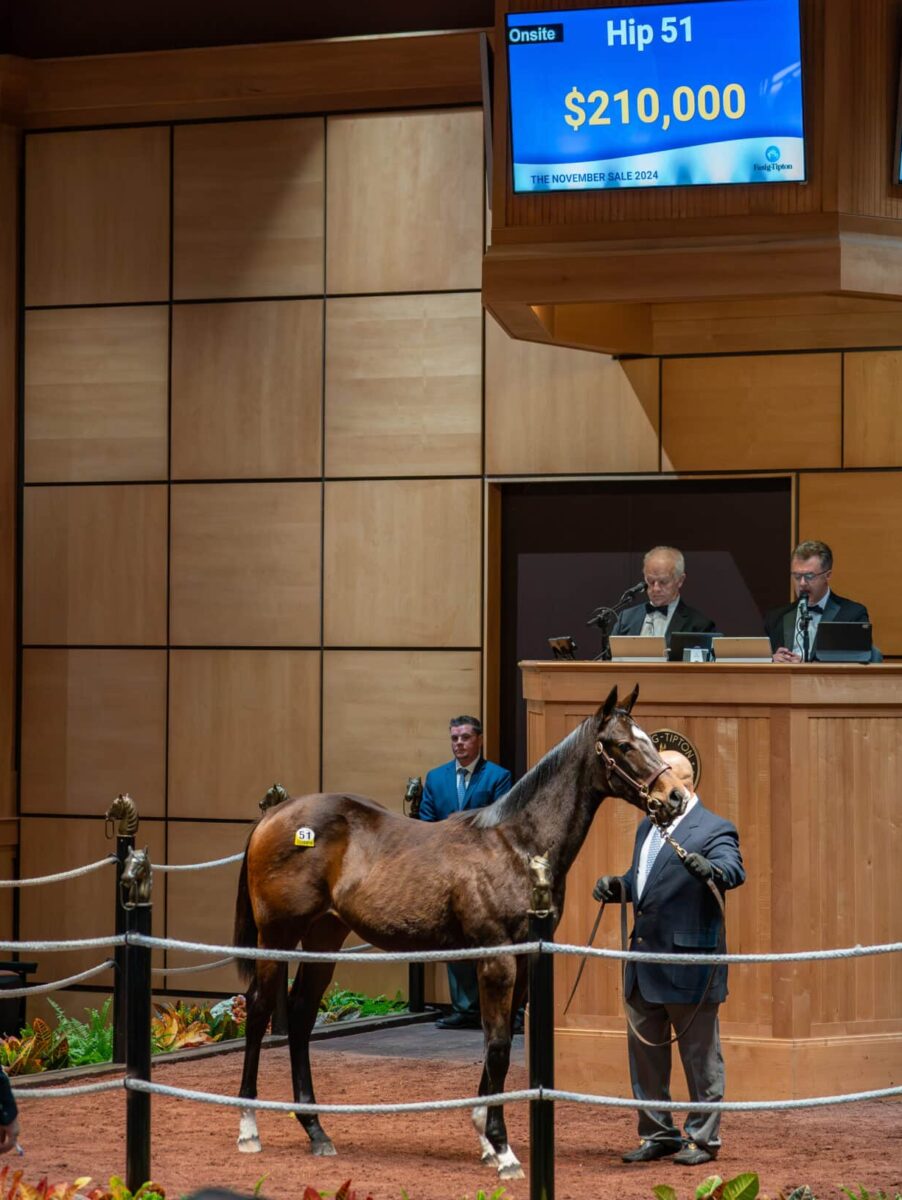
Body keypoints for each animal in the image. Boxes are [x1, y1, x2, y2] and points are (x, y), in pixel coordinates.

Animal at [230, 686, 681, 1180]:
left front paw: (485, 1132)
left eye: (648, 739)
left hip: (323, 938)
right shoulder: (496, 959)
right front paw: (503, 1150)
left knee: (300, 1015)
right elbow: (499, 1045)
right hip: (276, 936)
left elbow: (496, 1044)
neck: (516, 844)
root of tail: (274, 816)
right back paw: (249, 1128)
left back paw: (316, 1130)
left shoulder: (524, 960)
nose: (675, 797)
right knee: (258, 1011)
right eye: (622, 745)